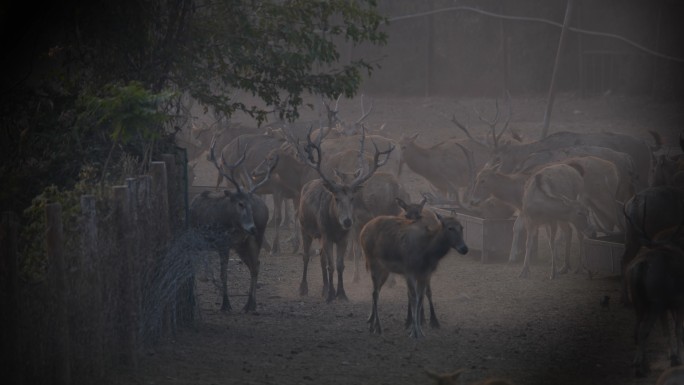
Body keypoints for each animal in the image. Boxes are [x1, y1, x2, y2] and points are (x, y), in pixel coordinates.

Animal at [188, 136, 276, 310]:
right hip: (242, 245)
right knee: (255, 265)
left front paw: (225, 304)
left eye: (250, 205)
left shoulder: (224, 244)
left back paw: (250, 304)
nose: (252, 227)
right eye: (240, 203)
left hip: (252, 240)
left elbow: (223, 274)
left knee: (255, 265)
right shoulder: (203, 243)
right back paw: (250, 304)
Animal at [296, 127, 396, 302]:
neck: (335, 226)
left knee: (321, 258)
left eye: (352, 198)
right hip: (305, 228)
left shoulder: (343, 238)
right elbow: (330, 265)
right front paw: (331, 295)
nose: (347, 221)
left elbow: (339, 265)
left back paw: (324, 288)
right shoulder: (327, 235)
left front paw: (341, 293)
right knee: (307, 256)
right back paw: (303, 288)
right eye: (336, 198)